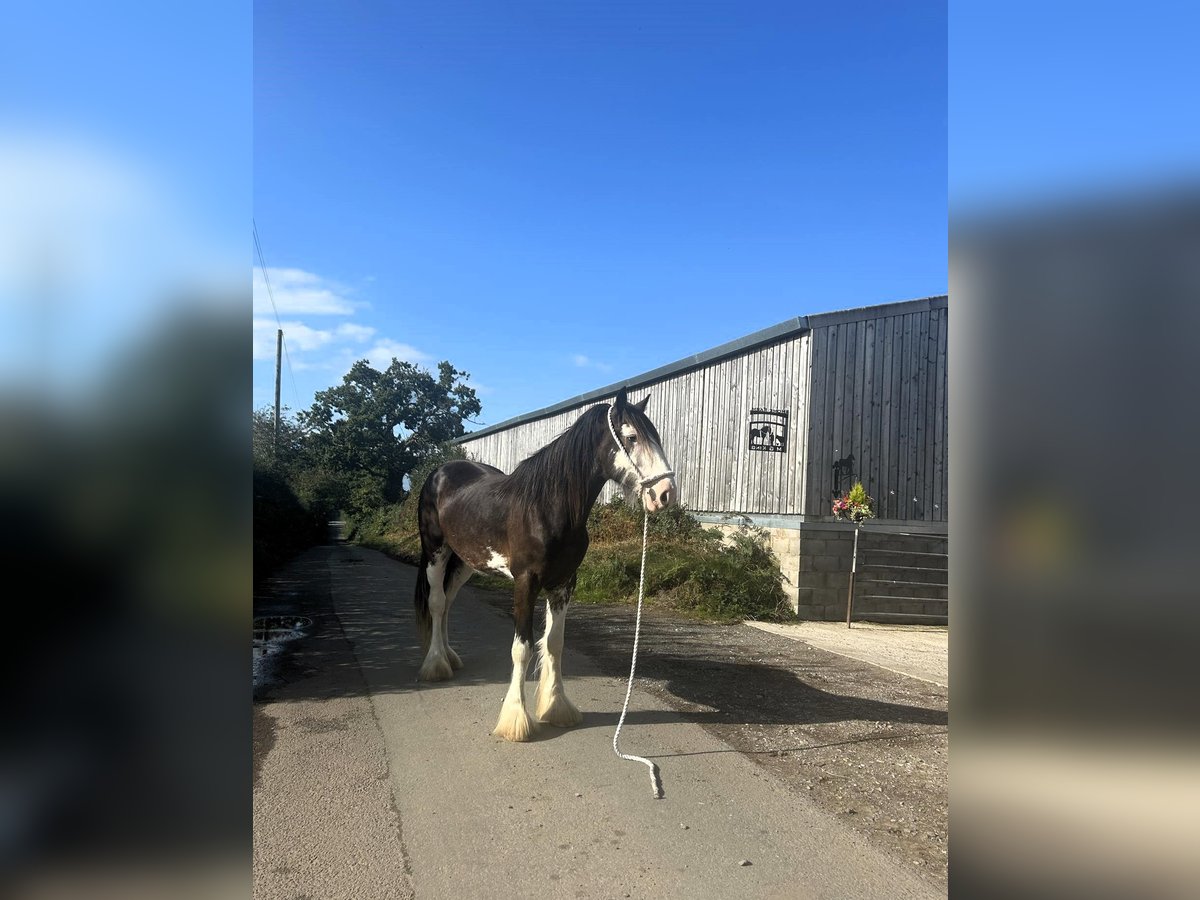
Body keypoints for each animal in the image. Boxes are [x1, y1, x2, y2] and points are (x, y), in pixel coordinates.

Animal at [412, 384, 676, 744]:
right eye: (632, 437)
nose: (665, 493)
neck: (547, 507)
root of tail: (440, 472)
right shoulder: (526, 582)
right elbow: (521, 648)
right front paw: (516, 720)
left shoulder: (564, 583)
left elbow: (554, 643)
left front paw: (557, 708)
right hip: (435, 552)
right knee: (437, 603)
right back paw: (436, 665)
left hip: (466, 561)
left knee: (449, 601)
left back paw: (450, 657)